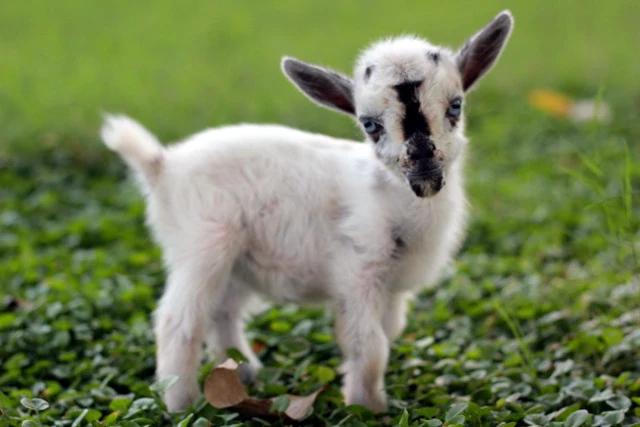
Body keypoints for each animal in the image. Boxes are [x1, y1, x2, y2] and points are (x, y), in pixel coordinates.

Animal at [101, 10, 513, 413]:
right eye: (369, 124)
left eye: (456, 106)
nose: (424, 166)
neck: (392, 198)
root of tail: (162, 165)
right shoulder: (358, 270)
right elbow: (369, 345)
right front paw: (368, 408)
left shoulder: (392, 286)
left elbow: (389, 331)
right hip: (202, 243)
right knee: (178, 322)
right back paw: (182, 404)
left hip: (235, 259)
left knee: (223, 311)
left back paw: (242, 376)